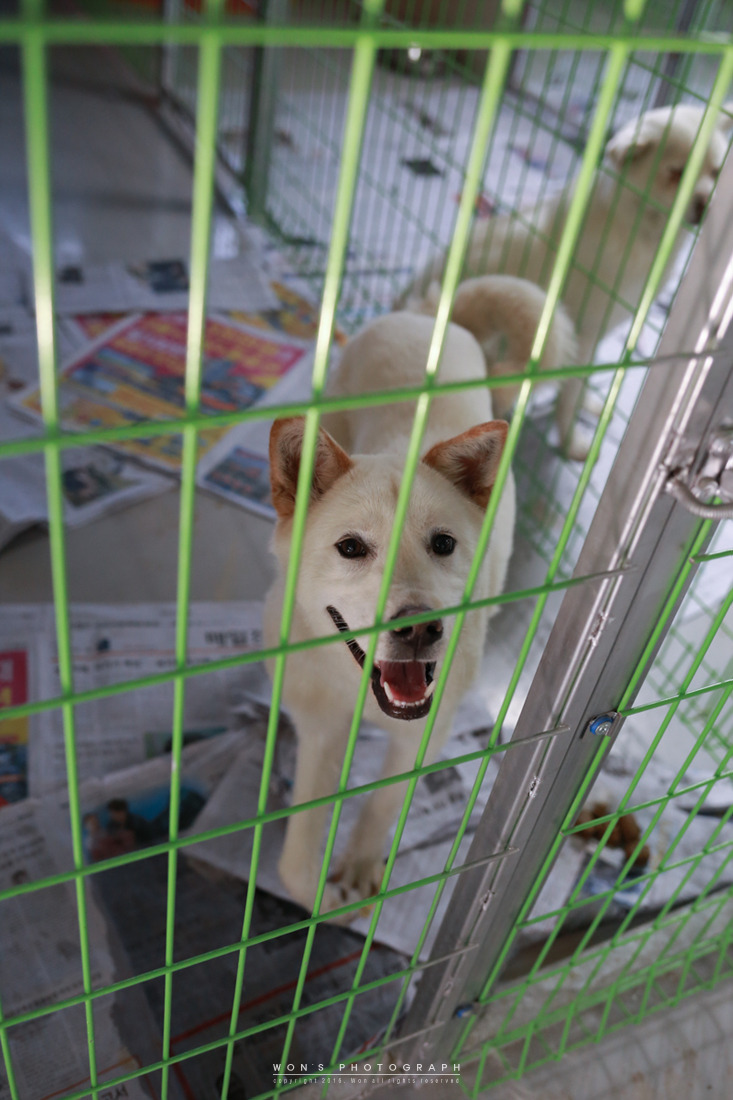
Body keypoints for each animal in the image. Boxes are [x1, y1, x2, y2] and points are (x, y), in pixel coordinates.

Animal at [264, 290, 571, 920]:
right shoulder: (321, 724)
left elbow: (385, 801)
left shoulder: (426, 730)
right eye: (351, 548)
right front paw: (324, 897)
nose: (420, 630)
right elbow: (299, 855)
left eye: (444, 544)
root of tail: (429, 315)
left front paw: (359, 870)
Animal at [397, 103, 733, 459]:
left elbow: (581, 386)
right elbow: (569, 395)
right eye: (677, 173)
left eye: (717, 171)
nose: (709, 205)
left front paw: (589, 405)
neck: (637, 228)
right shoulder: (582, 339)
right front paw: (572, 442)